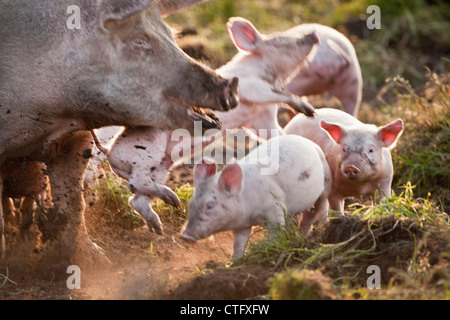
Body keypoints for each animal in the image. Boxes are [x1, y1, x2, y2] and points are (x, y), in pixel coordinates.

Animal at [0, 0, 239, 260]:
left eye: (171, 35)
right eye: (139, 41)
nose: (229, 84)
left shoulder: (77, 139)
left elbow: (72, 203)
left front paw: (95, 260)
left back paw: (163, 217)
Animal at [179, 134, 330, 258]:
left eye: (210, 206)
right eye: (191, 204)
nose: (184, 236)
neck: (251, 212)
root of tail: (309, 142)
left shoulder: (275, 206)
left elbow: (276, 231)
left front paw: (268, 249)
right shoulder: (241, 225)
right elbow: (239, 243)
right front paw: (234, 262)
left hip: (326, 184)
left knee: (311, 214)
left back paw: (303, 236)